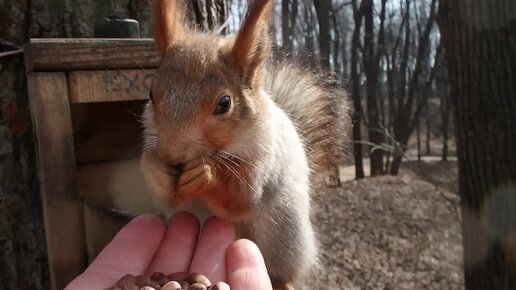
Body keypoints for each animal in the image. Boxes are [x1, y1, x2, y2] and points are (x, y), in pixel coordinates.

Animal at [141, 1, 350, 288]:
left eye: (224, 103)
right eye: (152, 94)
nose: (170, 155)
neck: (222, 151)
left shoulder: (266, 160)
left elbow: (243, 196)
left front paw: (205, 174)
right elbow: (172, 201)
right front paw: (156, 170)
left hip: (286, 240)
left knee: (283, 272)